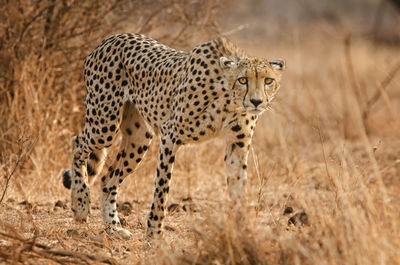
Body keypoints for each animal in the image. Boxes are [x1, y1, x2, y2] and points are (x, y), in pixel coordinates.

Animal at [61, 32, 284, 238]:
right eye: (243, 80)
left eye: (268, 80)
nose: (256, 101)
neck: (229, 98)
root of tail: (112, 37)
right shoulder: (170, 135)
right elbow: (162, 189)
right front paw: (153, 235)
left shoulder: (238, 145)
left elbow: (239, 190)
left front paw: (242, 232)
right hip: (105, 124)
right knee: (77, 142)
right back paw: (80, 204)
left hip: (139, 138)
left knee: (108, 179)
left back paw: (114, 228)